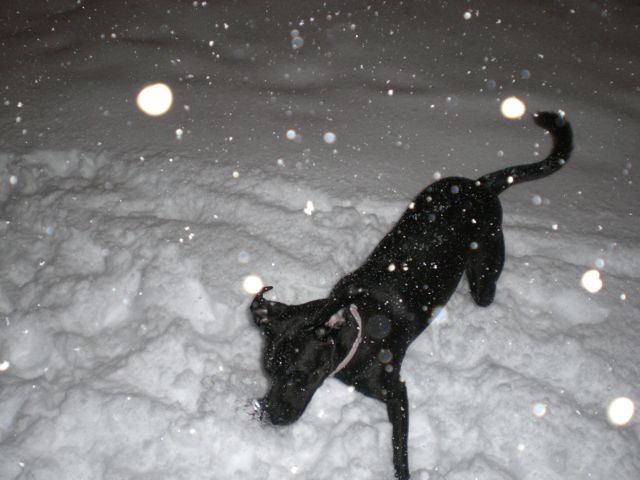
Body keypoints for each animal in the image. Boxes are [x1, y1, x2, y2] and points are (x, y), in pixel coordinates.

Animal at [249, 110, 568, 478]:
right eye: (269, 372)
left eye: (299, 376)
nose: (269, 417)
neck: (357, 331)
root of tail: (480, 185)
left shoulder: (396, 393)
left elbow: (399, 449)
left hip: (485, 272)